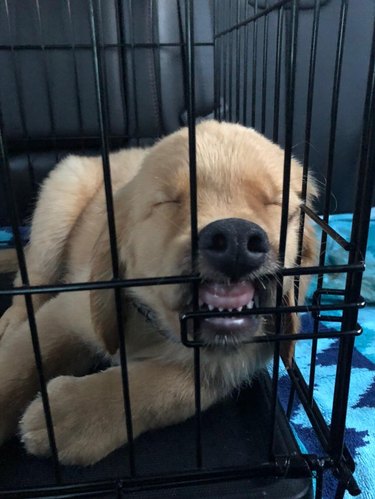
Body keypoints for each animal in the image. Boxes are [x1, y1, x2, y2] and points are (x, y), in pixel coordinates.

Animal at [0, 121, 318, 464]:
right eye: (170, 202)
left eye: (276, 204)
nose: (235, 239)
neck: (161, 326)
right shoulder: (68, 312)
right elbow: (20, 362)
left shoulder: (235, 362)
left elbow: (172, 388)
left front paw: (70, 415)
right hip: (59, 201)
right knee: (31, 280)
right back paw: (11, 320)